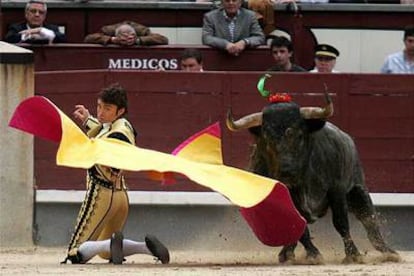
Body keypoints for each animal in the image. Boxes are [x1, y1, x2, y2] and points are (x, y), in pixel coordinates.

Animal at [226, 78, 402, 264]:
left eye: (299, 135)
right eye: (266, 138)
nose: (287, 171)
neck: (303, 182)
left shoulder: (337, 190)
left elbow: (341, 222)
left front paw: (353, 254)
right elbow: (299, 227)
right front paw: (313, 254)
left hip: (358, 190)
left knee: (369, 220)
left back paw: (389, 252)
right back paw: (286, 253)